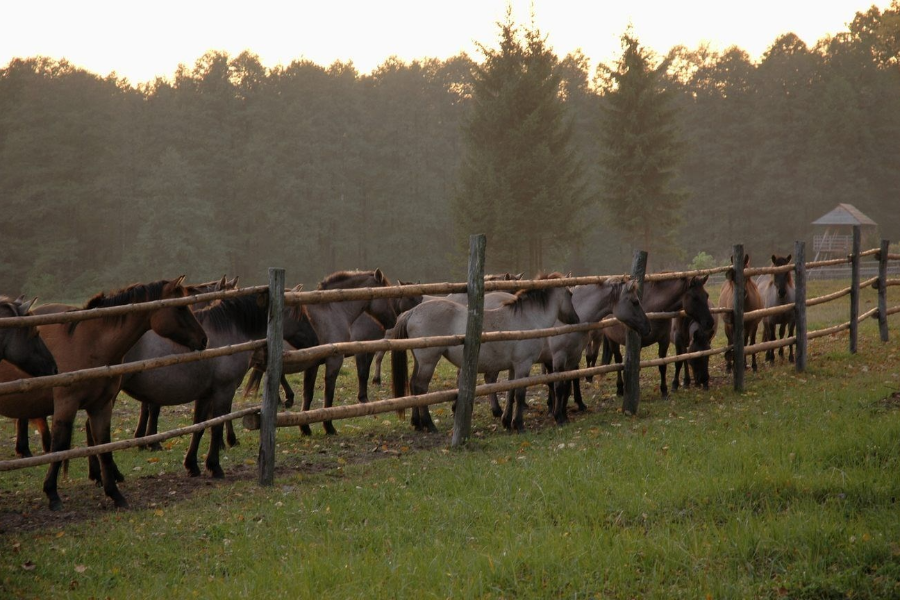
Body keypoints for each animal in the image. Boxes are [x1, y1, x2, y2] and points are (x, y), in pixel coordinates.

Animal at [0, 278, 206, 510]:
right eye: (180, 307)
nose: (203, 339)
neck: (91, 342)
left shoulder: (101, 406)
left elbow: (104, 446)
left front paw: (115, 494)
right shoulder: (66, 404)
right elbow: (59, 446)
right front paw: (52, 493)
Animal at [390, 274, 580, 434]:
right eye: (570, 294)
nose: (576, 320)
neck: (527, 319)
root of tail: (412, 312)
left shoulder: (513, 367)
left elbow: (510, 393)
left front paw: (506, 421)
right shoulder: (523, 365)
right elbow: (519, 394)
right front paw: (518, 424)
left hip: (419, 361)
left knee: (413, 385)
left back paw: (417, 423)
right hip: (429, 361)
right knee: (421, 386)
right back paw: (429, 424)